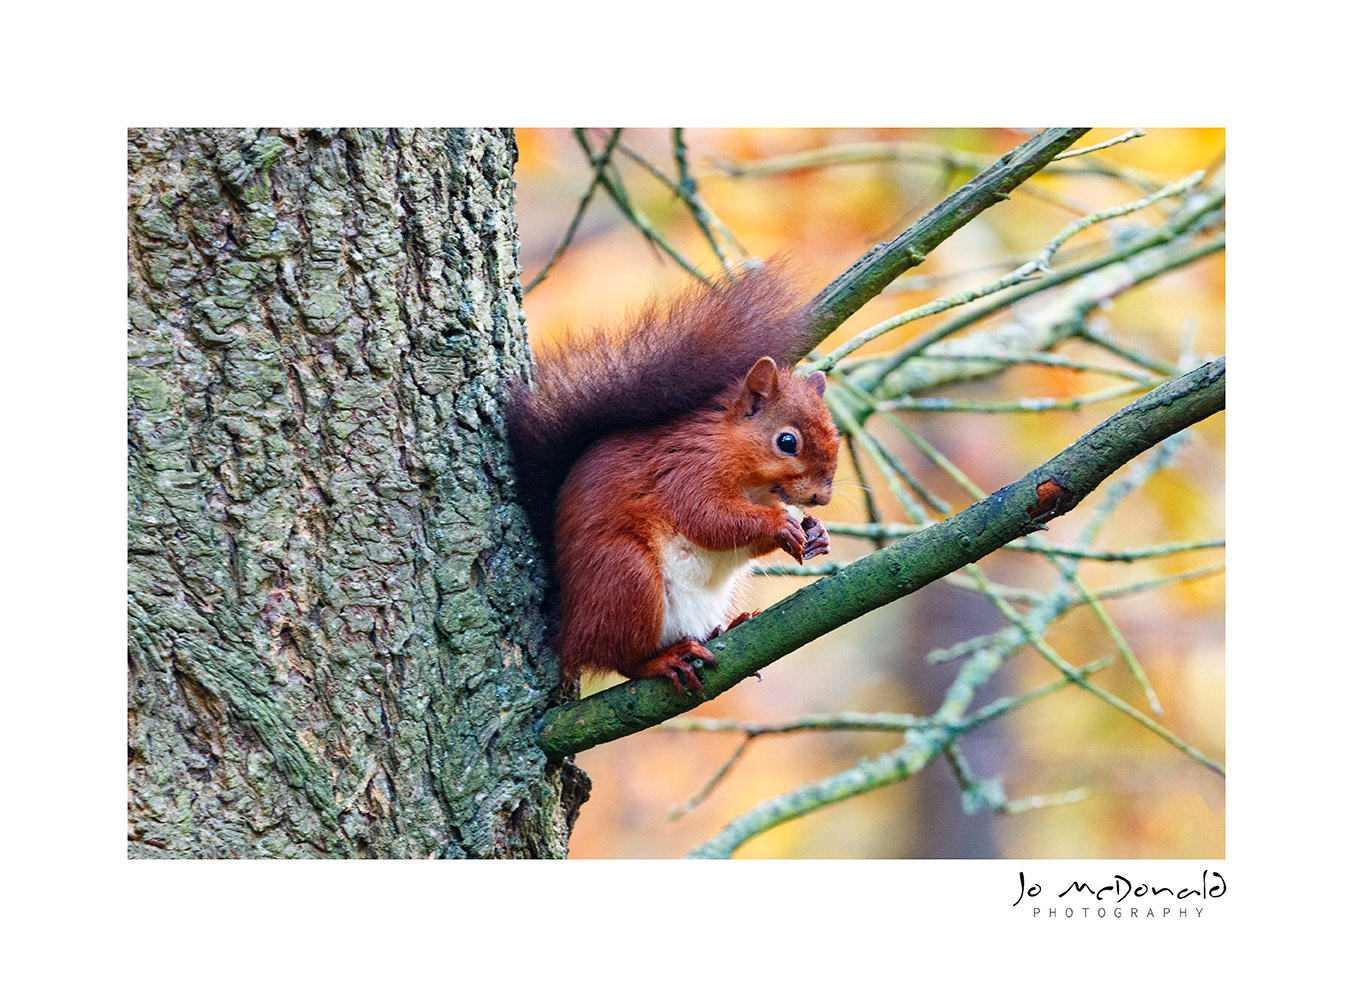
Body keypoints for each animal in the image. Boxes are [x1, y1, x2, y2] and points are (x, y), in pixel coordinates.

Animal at [508, 266, 839, 695]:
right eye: (787, 442)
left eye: (835, 437)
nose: (821, 497)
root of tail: (569, 631)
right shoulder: (684, 473)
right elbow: (710, 519)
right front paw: (780, 524)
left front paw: (817, 535)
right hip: (625, 575)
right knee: (620, 659)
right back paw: (663, 659)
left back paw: (724, 628)